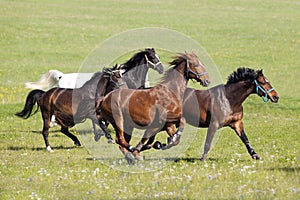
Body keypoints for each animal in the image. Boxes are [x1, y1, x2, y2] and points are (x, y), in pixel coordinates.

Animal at [16, 48, 164, 152]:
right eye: (152, 57)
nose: (161, 69)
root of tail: (44, 94)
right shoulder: (94, 113)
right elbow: (102, 124)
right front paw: (106, 138)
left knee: (63, 129)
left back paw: (76, 141)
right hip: (49, 114)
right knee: (46, 130)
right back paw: (49, 147)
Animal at [144, 68, 280, 160]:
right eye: (263, 82)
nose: (276, 97)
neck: (230, 100)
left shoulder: (236, 123)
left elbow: (245, 139)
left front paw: (255, 155)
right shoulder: (214, 124)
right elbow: (208, 143)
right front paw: (202, 159)